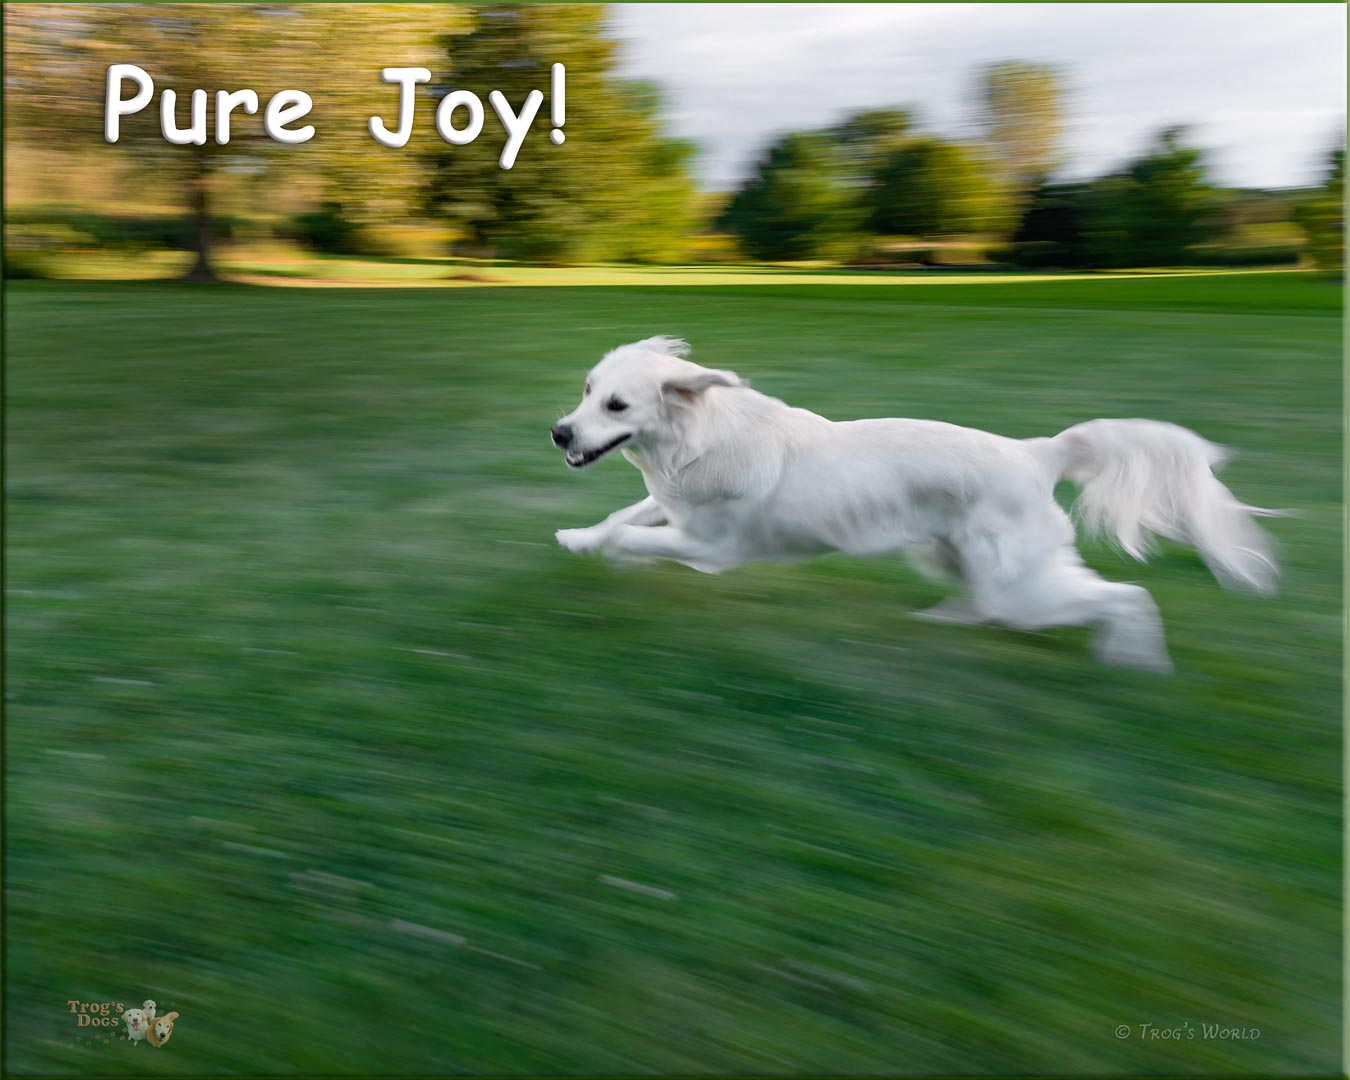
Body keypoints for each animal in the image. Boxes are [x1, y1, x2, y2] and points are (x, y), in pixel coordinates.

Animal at [553, 333, 1279, 669]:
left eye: (616, 406)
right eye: (586, 390)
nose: (560, 432)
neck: (696, 440)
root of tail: (1038, 452)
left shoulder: (712, 543)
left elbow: (632, 533)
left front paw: (610, 554)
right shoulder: (677, 507)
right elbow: (622, 516)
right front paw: (580, 538)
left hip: (1023, 585)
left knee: (1125, 597)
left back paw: (1134, 660)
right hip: (951, 552)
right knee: (980, 602)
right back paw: (943, 621)